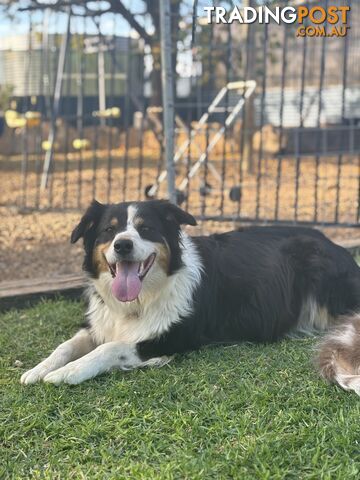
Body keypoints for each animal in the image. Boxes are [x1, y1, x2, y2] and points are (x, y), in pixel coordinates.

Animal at [21, 199, 360, 394]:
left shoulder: (173, 337)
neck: (140, 300)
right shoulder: (99, 323)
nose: (123, 245)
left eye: (146, 229)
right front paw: (38, 369)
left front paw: (67, 373)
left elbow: (109, 348)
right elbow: (66, 345)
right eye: (109, 230)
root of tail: (336, 246)